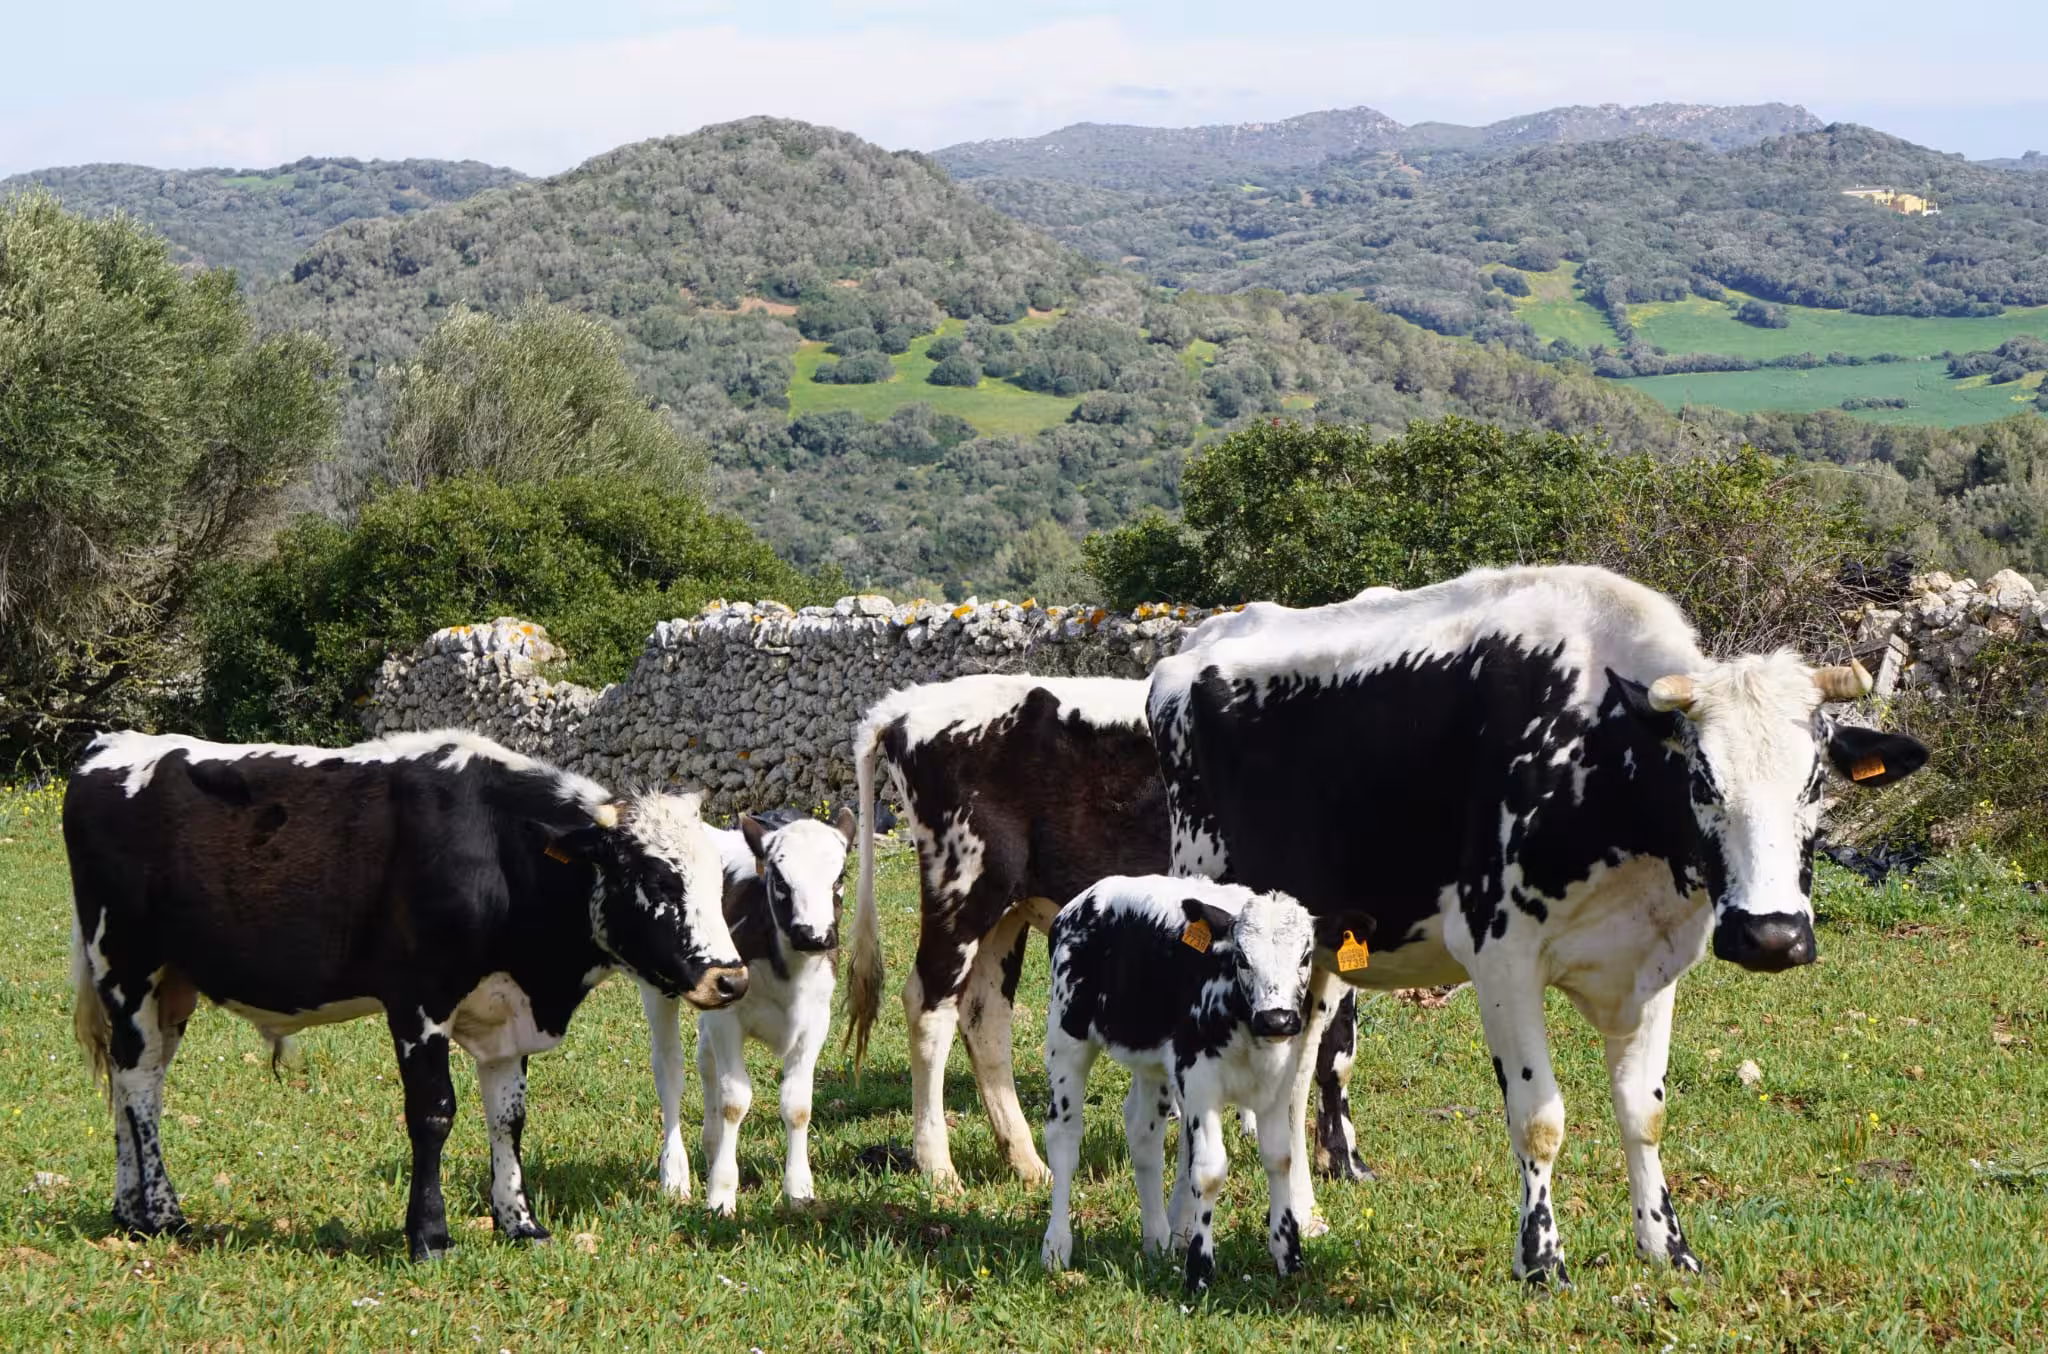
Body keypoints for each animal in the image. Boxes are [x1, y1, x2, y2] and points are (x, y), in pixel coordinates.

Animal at [65, 729, 747, 1262]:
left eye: (717, 880)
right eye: (656, 876)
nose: (731, 979)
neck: (500, 852)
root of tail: (108, 747)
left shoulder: (507, 1014)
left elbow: (509, 1118)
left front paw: (520, 1224)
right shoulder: (419, 1002)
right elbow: (433, 1113)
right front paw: (430, 1236)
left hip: (168, 985)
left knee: (136, 1076)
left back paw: (130, 1211)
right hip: (124, 965)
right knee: (138, 1084)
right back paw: (162, 1213)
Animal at [640, 806, 858, 1213]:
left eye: (839, 878)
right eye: (780, 881)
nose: (814, 935)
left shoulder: (816, 1021)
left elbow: (798, 1105)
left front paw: (799, 1189)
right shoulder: (728, 1019)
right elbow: (734, 1101)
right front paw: (721, 1194)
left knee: (704, 1060)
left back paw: (710, 1148)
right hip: (658, 987)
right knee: (670, 1070)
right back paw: (675, 1175)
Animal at [844, 674, 1171, 1183]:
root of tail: (905, 704)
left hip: (1006, 910)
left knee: (984, 1015)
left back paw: (1027, 1163)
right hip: (965, 885)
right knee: (929, 1005)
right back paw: (938, 1167)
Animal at [1041, 876, 1355, 1290]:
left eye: (1305, 957)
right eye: (1242, 958)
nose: (1276, 1019)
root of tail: (1085, 899)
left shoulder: (1277, 1082)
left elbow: (1279, 1158)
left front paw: (1288, 1255)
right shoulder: (1199, 1082)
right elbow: (1208, 1172)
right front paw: (1199, 1269)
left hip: (1151, 1061)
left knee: (1142, 1134)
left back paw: (1157, 1240)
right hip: (1067, 1037)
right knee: (1064, 1135)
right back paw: (1056, 1246)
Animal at [1148, 565, 1929, 1282]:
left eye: (1815, 784)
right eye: (1703, 781)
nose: (1771, 936)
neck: (1600, 759)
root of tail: (1195, 646)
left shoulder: (1656, 961)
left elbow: (1644, 1114)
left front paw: (1668, 1248)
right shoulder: (1500, 954)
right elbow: (1539, 1118)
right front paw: (1542, 1258)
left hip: (1307, 962)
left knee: (1294, 1077)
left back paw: (1304, 1217)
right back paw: (1185, 1226)